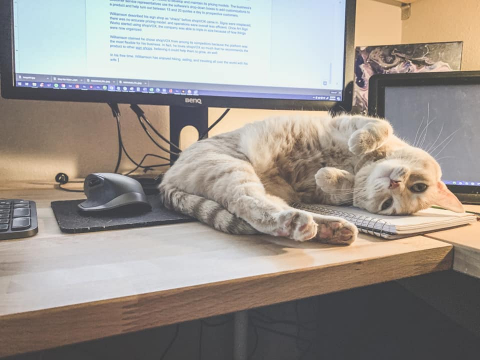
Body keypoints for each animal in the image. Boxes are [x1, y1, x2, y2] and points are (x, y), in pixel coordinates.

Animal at [159, 114, 464, 245]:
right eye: (419, 186)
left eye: (387, 205)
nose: (394, 184)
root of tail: (165, 179)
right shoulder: (350, 121)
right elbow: (379, 126)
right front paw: (359, 144)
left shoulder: (317, 193)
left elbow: (339, 186)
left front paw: (330, 174)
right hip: (232, 166)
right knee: (251, 204)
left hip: (244, 178)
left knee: (258, 207)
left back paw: (326, 229)